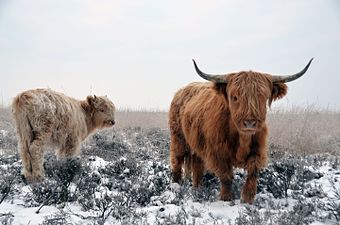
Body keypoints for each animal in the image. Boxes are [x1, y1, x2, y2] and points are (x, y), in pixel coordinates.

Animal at [170, 58, 314, 204]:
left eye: (263, 97)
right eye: (235, 97)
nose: (249, 122)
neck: (242, 138)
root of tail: (182, 91)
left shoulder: (258, 150)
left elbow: (253, 171)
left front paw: (248, 198)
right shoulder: (218, 153)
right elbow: (226, 176)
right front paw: (226, 198)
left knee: (197, 165)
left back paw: (197, 189)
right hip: (178, 139)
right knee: (177, 161)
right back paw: (176, 186)